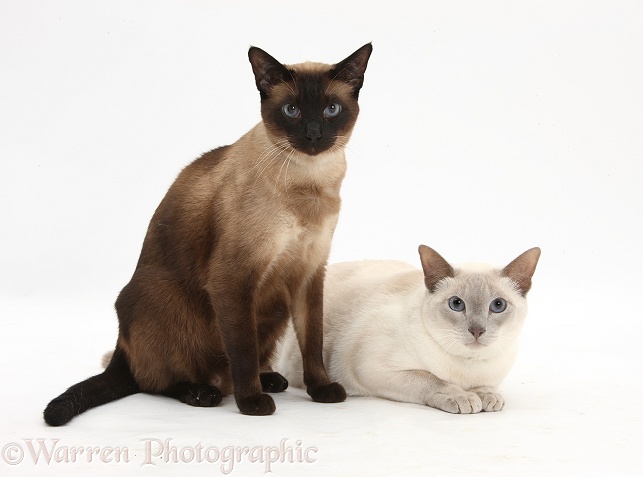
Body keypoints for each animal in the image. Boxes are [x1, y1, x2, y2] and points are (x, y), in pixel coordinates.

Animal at [44, 42, 372, 426]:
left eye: (331, 109)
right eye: (291, 110)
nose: (313, 134)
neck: (310, 183)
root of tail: (122, 345)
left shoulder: (309, 273)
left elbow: (313, 342)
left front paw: (321, 390)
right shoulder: (233, 278)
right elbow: (243, 350)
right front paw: (252, 404)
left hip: (275, 305)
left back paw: (270, 380)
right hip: (167, 299)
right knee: (154, 381)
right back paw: (204, 393)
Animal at [274, 245, 540, 412]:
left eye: (498, 305)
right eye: (457, 304)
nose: (477, 330)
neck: (466, 369)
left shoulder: (491, 375)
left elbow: (486, 388)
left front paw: (487, 397)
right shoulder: (373, 368)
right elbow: (432, 380)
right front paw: (461, 397)